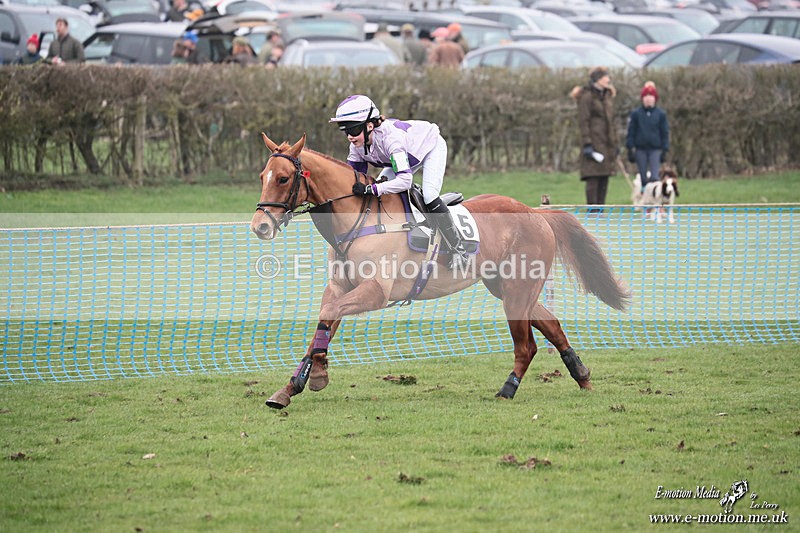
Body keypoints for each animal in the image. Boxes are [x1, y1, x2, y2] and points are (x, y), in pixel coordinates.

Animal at [250, 133, 631, 409]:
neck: (359, 216)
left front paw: (314, 376)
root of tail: (536, 213)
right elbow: (324, 322)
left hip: (517, 291)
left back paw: (508, 389)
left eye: (283, 178)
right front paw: (294, 385)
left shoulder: (375, 292)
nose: (259, 226)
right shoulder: (341, 288)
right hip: (508, 288)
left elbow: (328, 315)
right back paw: (581, 374)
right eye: (262, 176)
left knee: (527, 347)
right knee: (550, 324)